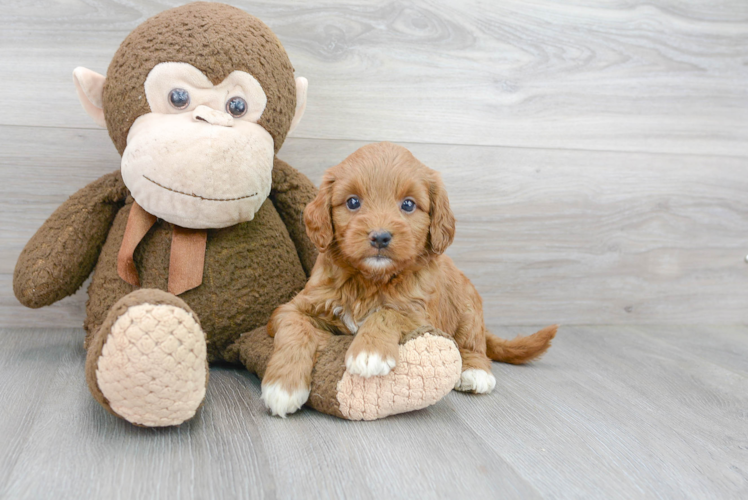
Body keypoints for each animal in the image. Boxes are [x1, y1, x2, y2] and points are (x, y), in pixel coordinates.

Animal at [262, 142, 556, 418]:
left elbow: (388, 313)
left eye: (408, 204)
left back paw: (475, 373)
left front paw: (368, 352)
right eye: (353, 202)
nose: (380, 237)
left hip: (469, 309)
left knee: (474, 345)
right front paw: (283, 386)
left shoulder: (420, 314)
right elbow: (294, 327)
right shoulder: (295, 306)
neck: (370, 280)